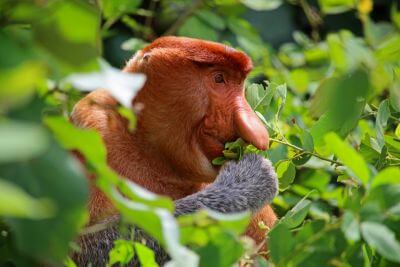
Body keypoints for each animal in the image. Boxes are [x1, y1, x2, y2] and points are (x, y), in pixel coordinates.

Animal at [71, 37, 278, 266]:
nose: (256, 131)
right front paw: (248, 181)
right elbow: (87, 246)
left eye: (239, 84)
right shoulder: (93, 126)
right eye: (219, 78)